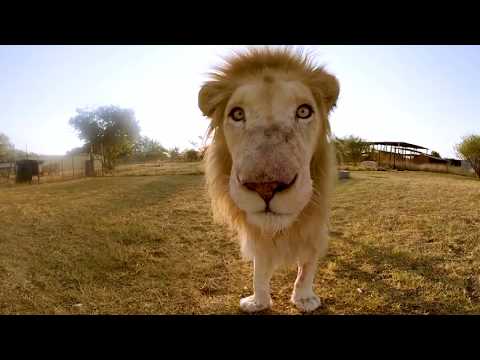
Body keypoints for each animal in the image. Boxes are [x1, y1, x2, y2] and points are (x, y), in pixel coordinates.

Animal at [197, 47, 340, 312]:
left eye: (304, 111)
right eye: (237, 114)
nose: (265, 186)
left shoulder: (314, 223)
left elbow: (308, 264)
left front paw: (304, 298)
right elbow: (259, 269)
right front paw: (258, 301)